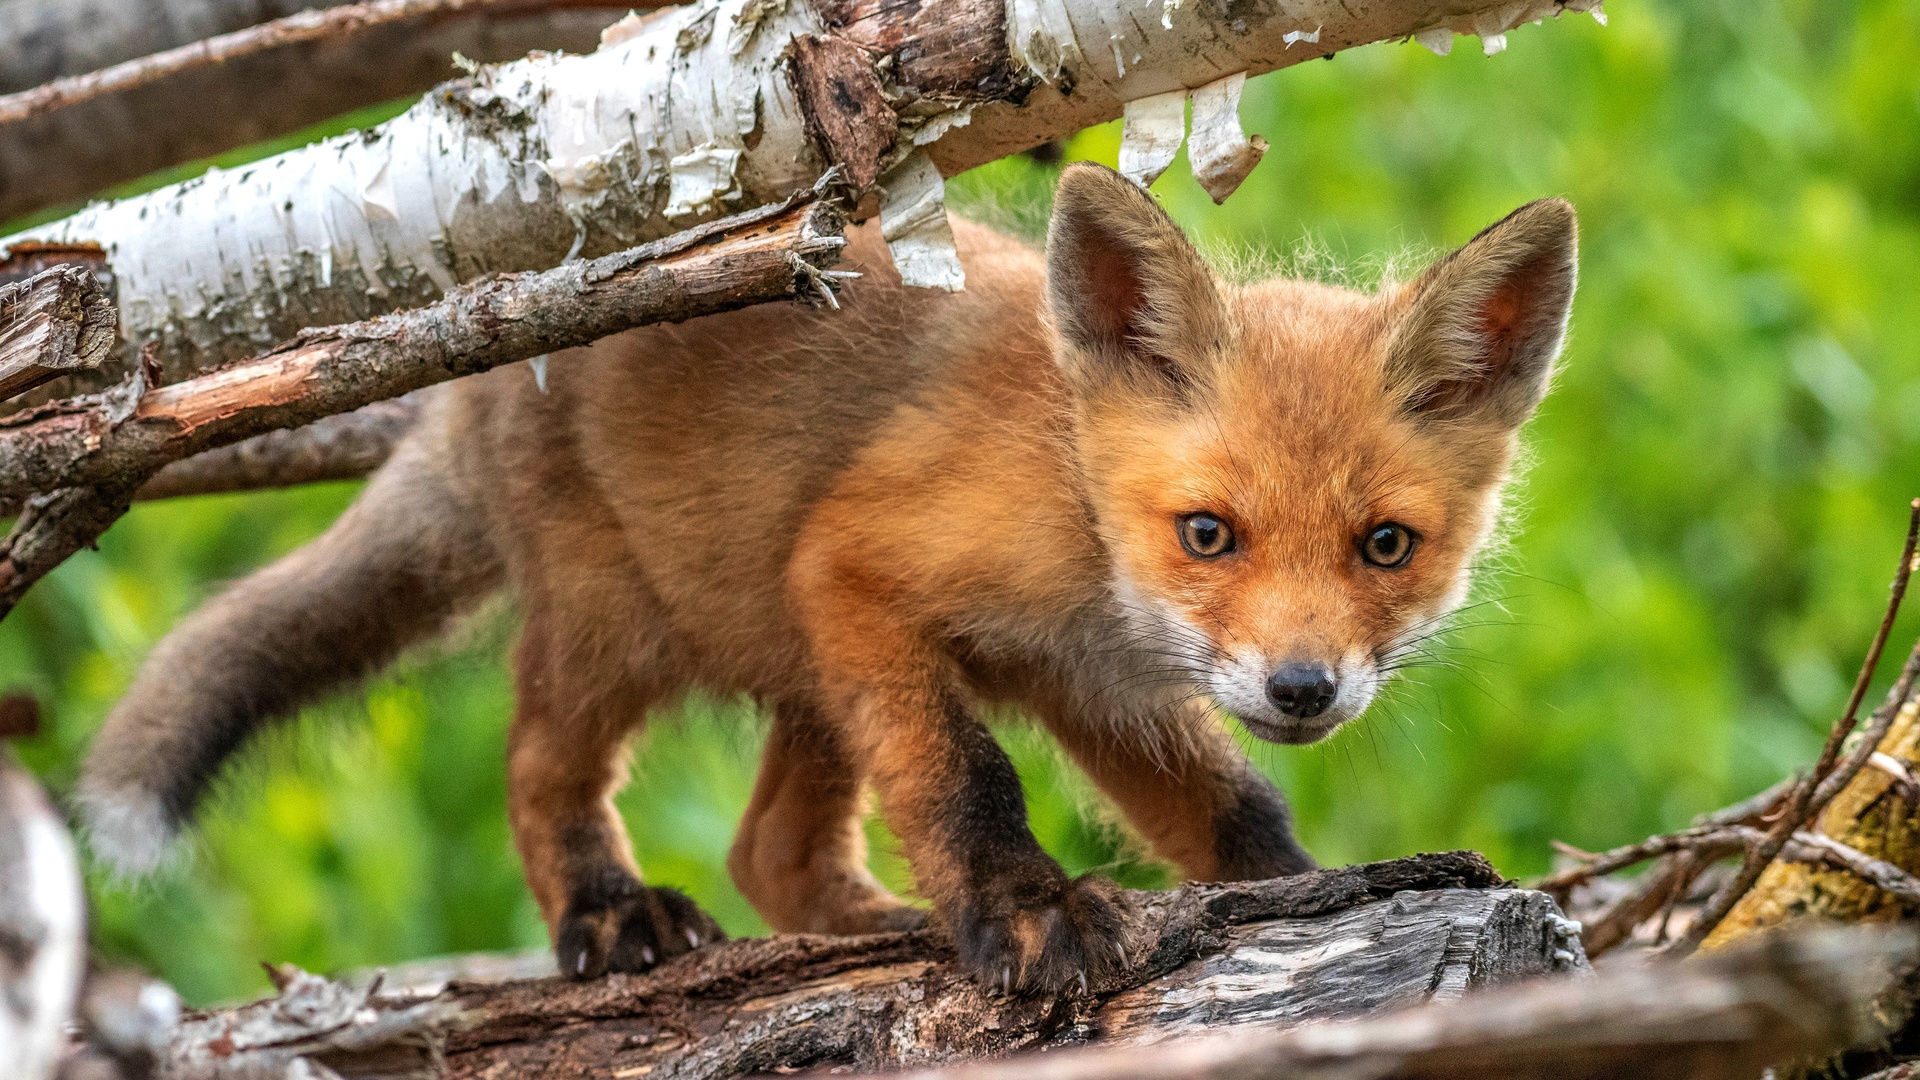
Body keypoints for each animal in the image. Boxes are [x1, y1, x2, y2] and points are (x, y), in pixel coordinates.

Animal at [74, 161, 1574, 991]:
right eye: (1209, 534)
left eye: (1386, 546)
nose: (1306, 687)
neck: (1077, 519)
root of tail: (469, 381)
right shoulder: (859, 568)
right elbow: (967, 776)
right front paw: (1026, 914)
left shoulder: (1098, 686)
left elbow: (1234, 809)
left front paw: (1313, 895)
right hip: (628, 622)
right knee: (542, 771)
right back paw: (613, 914)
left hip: (792, 657)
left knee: (773, 853)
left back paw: (869, 925)